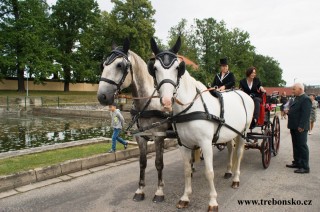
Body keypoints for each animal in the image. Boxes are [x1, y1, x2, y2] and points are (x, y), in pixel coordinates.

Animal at [97, 39, 171, 203]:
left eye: (120, 65)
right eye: (103, 65)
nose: (102, 96)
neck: (147, 102)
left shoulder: (159, 136)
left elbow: (159, 163)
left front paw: (159, 191)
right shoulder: (140, 137)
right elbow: (142, 163)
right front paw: (140, 190)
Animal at [148, 37, 255, 211]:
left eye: (178, 68)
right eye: (155, 68)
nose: (166, 101)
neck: (190, 108)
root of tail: (243, 93)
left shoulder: (205, 143)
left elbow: (209, 172)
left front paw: (212, 201)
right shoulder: (183, 144)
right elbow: (186, 170)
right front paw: (185, 197)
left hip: (243, 132)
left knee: (238, 153)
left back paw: (236, 179)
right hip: (230, 133)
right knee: (230, 150)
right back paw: (228, 171)